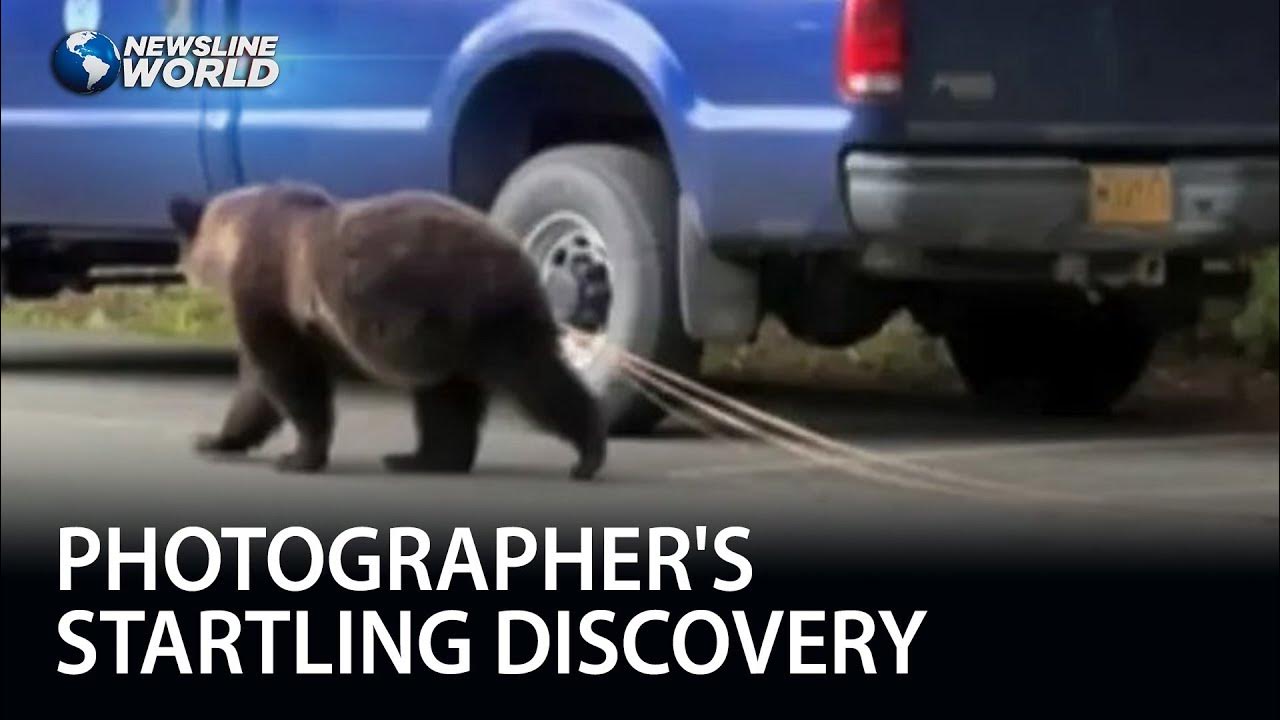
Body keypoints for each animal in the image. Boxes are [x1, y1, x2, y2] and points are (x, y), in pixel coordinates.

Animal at [168, 182, 605, 479]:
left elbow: (288, 376)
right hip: (443, 337)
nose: (180, 269)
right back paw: (419, 459)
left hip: (481, 311)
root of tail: (522, 255)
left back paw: (588, 453)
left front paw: (297, 456)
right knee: (446, 400)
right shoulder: (309, 323)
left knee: (535, 379)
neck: (236, 239)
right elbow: (258, 389)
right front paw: (215, 439)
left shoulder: (274, 297)